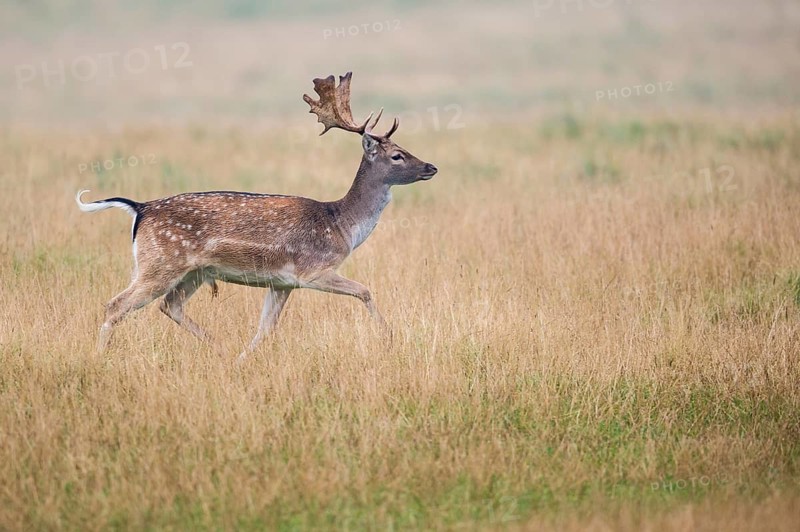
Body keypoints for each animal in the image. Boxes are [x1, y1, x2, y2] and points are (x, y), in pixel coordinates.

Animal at [75, 72, 438, 360]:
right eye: (397, 155)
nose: (431, 167)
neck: (341, 226)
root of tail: (140, 207)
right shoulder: (313, 270)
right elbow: (365, 290)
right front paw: (388, 336)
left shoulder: (282, 283)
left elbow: (265, 328)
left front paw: (242, 360)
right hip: (161, 263)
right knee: (116, 305)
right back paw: (99, 357)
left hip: (192, 271)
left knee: (169, 305)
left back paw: (221, 349)